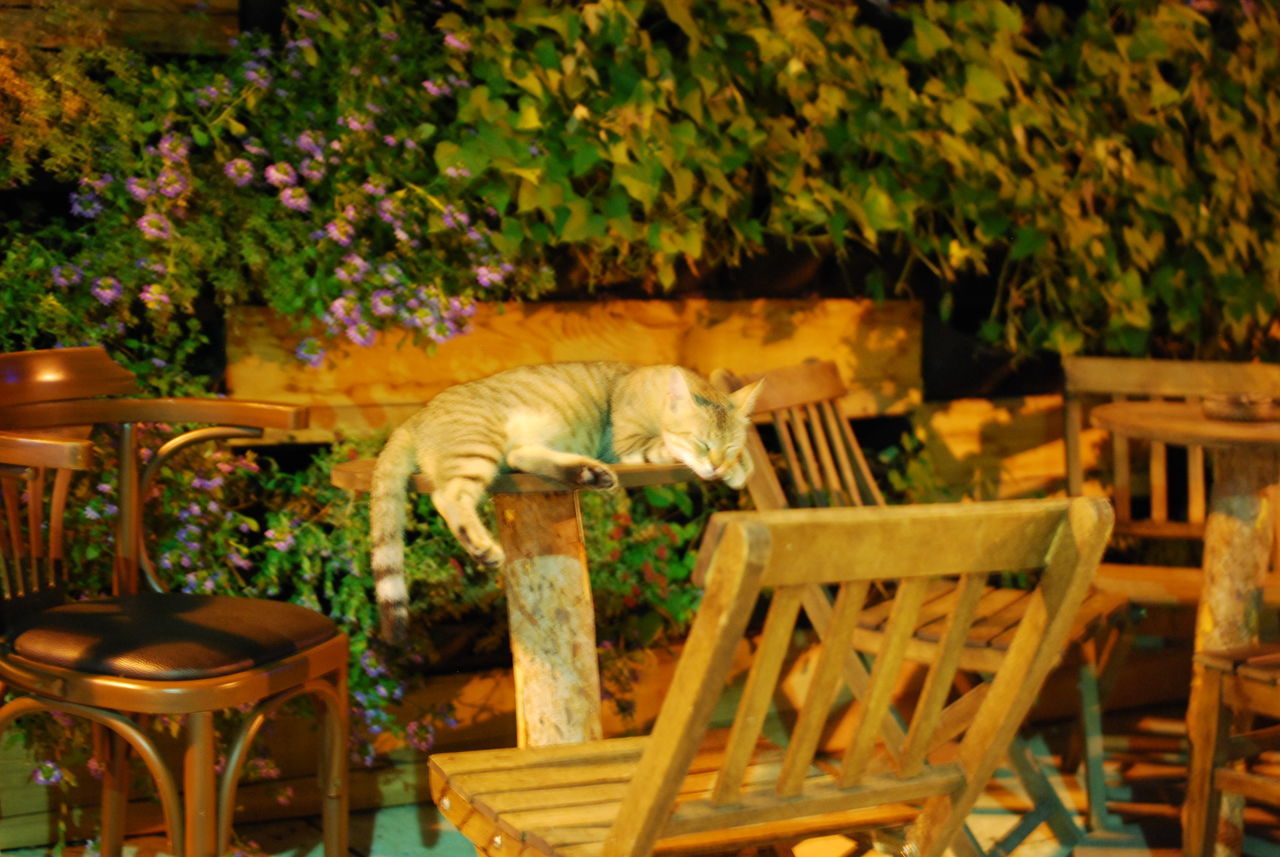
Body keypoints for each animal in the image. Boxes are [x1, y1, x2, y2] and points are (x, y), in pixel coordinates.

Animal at [366, 363, 762, 644]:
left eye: (726, 445)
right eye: (701, 443)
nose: (717, 466)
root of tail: (414, 418)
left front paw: (739, 465)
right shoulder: (630, 446)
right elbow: (667, 448)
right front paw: (736, 468)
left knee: (522, 457)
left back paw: (588, 474)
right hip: (476, 446)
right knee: (448, 496)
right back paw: (483, 547)